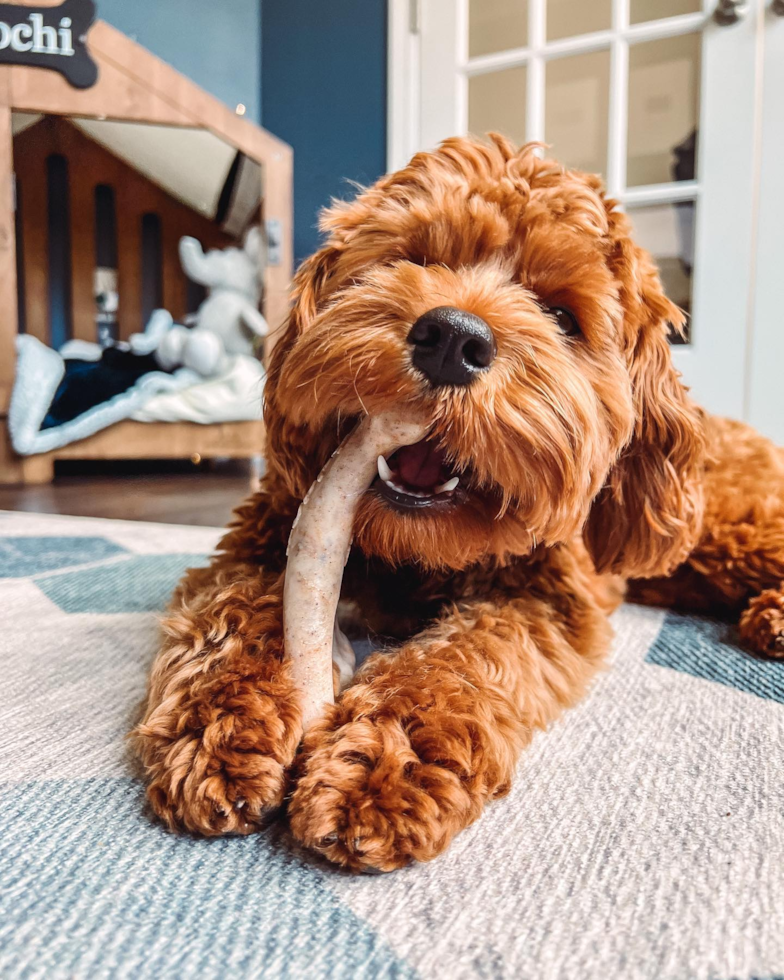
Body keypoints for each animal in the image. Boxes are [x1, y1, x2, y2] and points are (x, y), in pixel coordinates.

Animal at [135, 134, 784, 868]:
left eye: (562, 315)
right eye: (417, 258)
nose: (452, 337)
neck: (413, 553)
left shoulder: (544, 600)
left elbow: (463, 657)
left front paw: (382, 762)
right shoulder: (262, 545)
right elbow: (231, 615)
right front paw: (221, 727)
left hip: (720, 532)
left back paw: (773, 617)